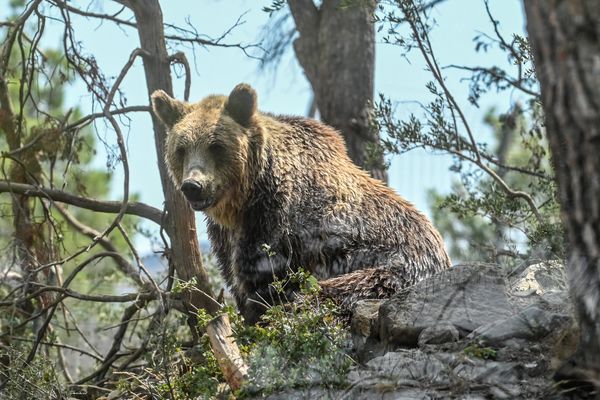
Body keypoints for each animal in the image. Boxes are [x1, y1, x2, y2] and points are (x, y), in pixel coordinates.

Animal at [150, 83, 450, 324]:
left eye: (216, 146)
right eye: (181, 149)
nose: (193, 186)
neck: (243, 200)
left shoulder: (277, 223)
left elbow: (264, 282)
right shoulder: (225, 236)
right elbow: (236, 280)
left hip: (391, 270)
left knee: (336, 292)